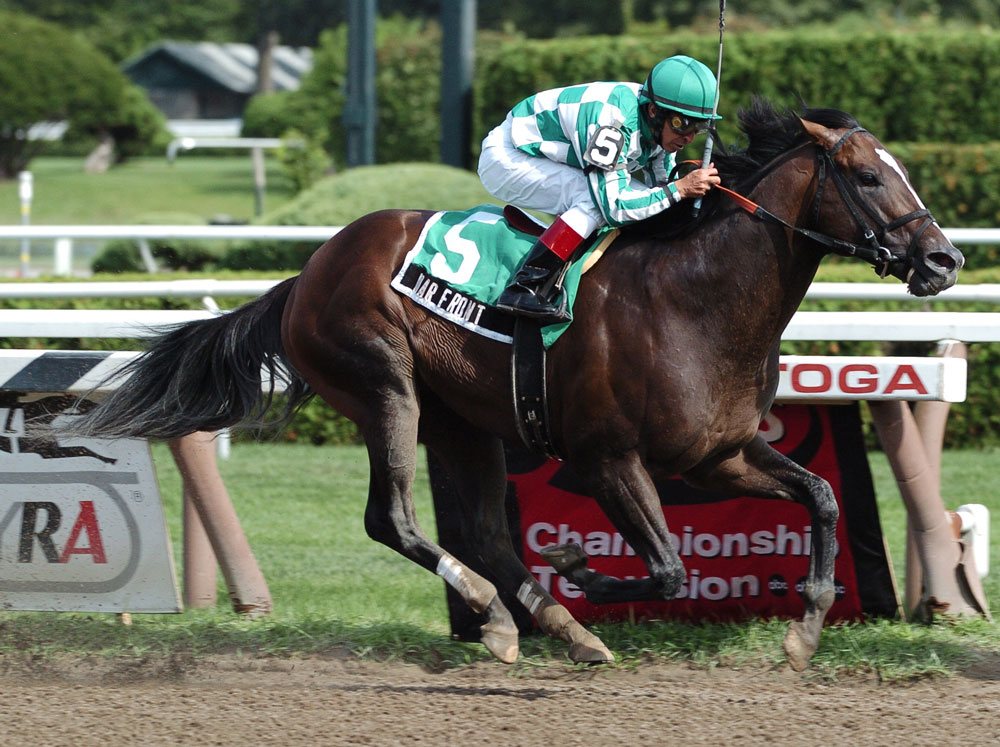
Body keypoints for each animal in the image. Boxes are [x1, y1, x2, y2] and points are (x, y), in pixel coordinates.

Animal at [68, 101, 960, 672]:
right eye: (867, 178)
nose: (944, 259)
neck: (696, 298)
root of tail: (306, 272)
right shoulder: (608, 458)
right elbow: (670, 567)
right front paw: (580, 565)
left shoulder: (720, 454)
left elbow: (821, 496)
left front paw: (805, 630)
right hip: (385, 386)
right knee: (394, 517)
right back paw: (499, 614)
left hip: (461, 420)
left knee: (482, 530)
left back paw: (552, 627)